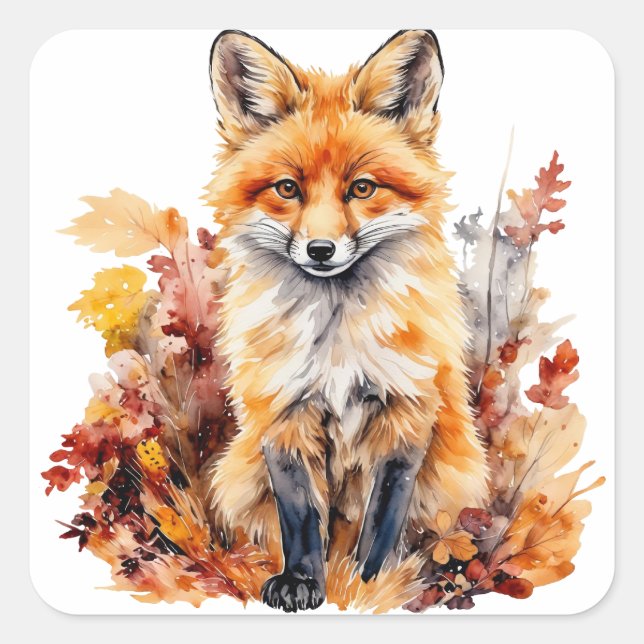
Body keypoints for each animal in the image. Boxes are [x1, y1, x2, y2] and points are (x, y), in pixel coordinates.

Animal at [201, 29, 490, 612]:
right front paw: (303, 582)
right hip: (237, 477)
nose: (320, 250)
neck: (337, 344)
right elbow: (301, 519)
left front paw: (367, 585)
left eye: (362, 188)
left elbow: (381, 519)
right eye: (287, 189)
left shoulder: (407, 413)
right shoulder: (282, 412)